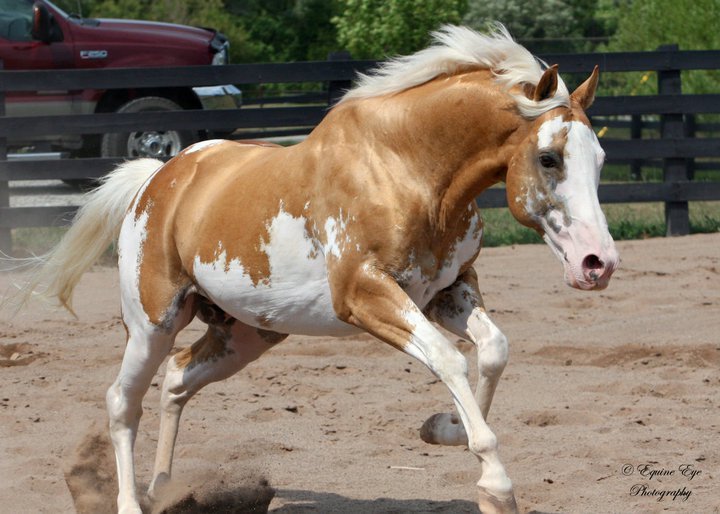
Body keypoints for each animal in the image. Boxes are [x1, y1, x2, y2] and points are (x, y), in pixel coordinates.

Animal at [28, 27, 616, 512]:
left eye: (601, 159)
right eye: (549, 158)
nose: (599, 263)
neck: (406, 170)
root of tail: (159, 179)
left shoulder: (445, 292)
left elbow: (493, 350)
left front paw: (443, 429)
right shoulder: (365, 296)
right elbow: (450, 360)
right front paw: (494, 486)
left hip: (246, 333)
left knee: (176, 379)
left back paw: (166, 490)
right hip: (152, 323)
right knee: (122, 403)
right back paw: (133, 500)